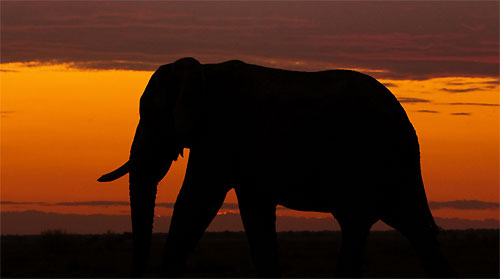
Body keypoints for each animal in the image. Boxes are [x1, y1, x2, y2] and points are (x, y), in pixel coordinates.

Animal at [97, 58, 454, 278]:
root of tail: (404, 118)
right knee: (415, 226)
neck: (203, 71)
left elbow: (197, 201)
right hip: (396, 167)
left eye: (152, 117)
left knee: (359, 224)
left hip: (368, 159)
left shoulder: (221, 132)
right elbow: (254, 213)